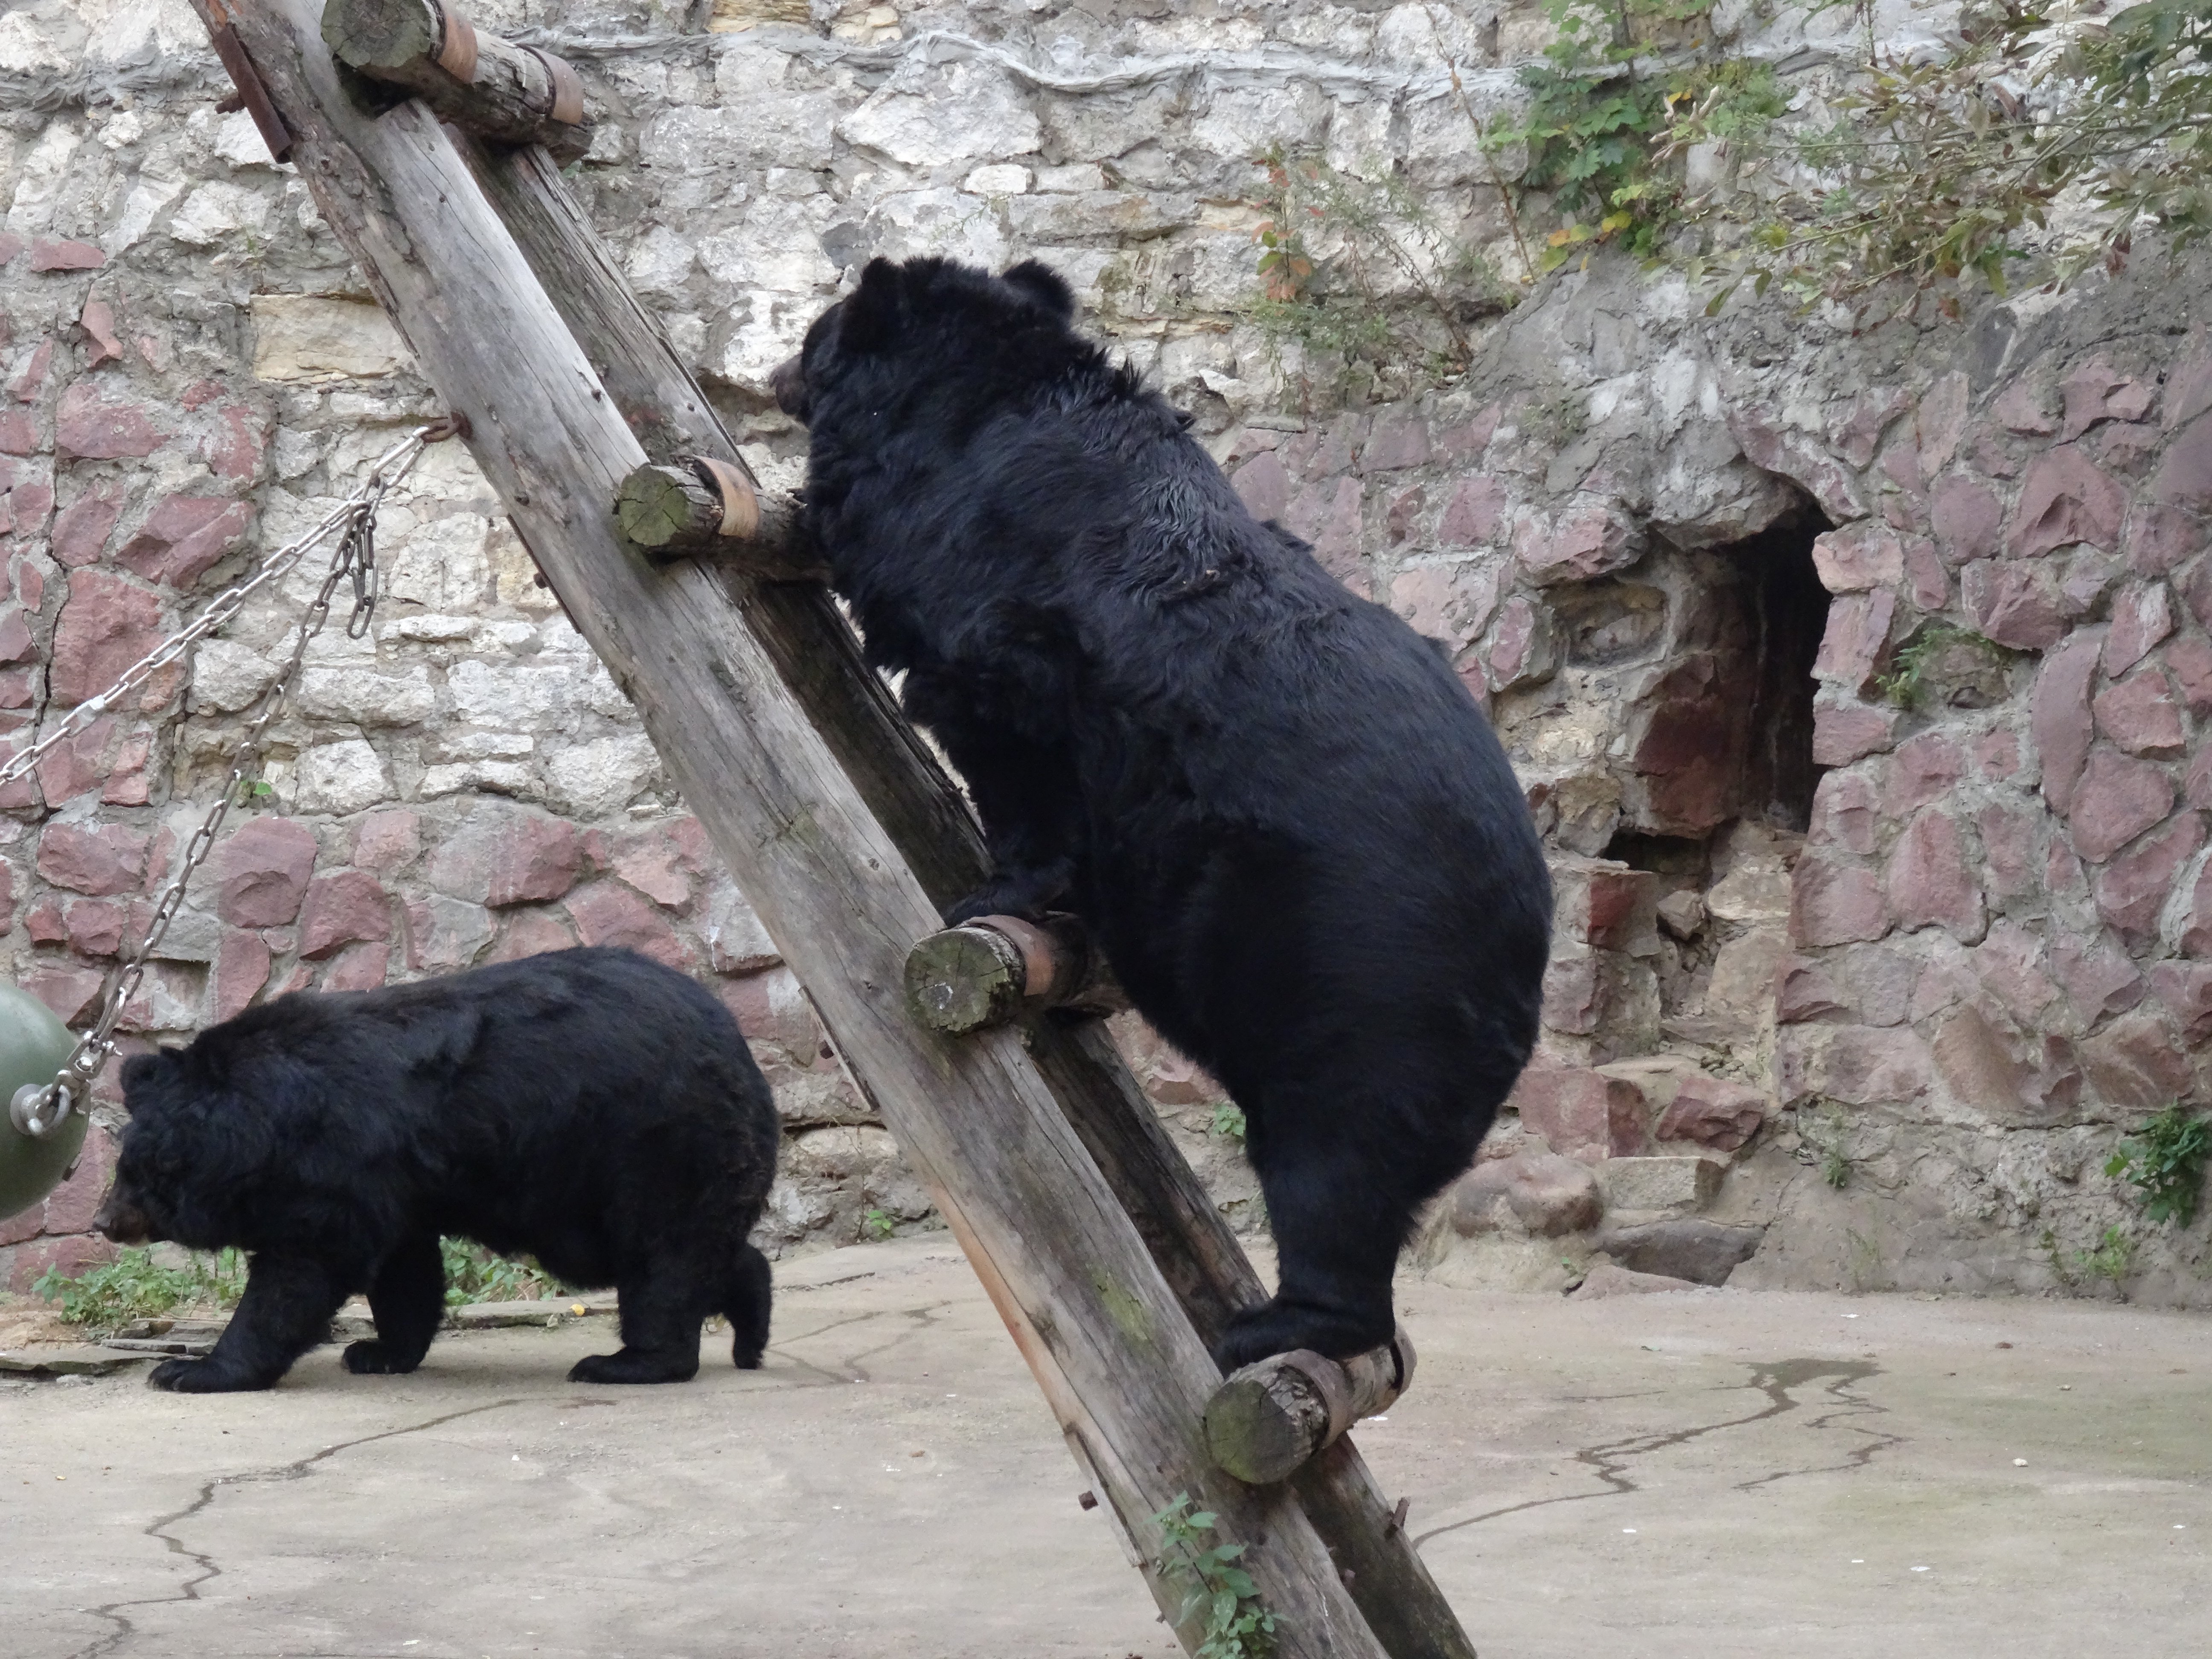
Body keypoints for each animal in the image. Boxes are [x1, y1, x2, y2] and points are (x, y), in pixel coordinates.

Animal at [97, 946, 787, 1389]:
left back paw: (625, 1364)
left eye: (134, 1173)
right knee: (699, 1252)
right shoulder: (402, 1181)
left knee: (661, 1254)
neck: (264, 1124)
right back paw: (750, 1334)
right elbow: (405, 1270)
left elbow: (304, 1267)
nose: (105, 1221)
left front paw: (189, 1369)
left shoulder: (336, 1161)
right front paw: (377, 1352)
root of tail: (741, 1051)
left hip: (656, 1142)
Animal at [778, 263, 1557, 1380]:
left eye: (812, 337)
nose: (773, 373)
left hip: (1353, 988)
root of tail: (1519, 975)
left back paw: (1271, 1327)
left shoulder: (1004, 608)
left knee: (1334, 1165)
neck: (970, 418)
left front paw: (991, 889)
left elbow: (1014, 742)